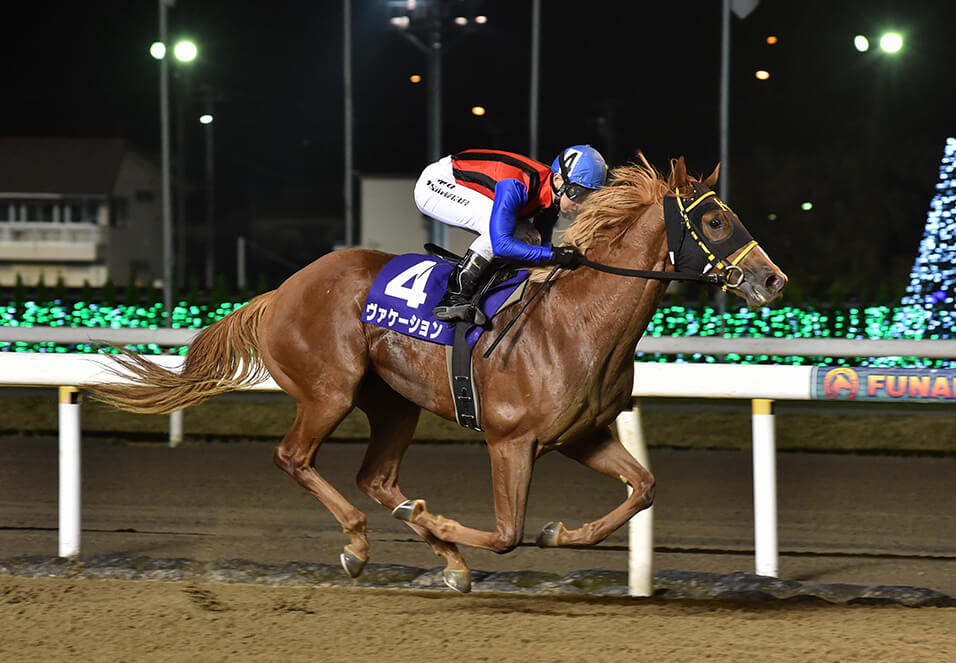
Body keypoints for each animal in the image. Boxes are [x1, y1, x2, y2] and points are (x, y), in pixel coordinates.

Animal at [87, 154, 787, 593]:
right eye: (716, 220)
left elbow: (642, 488)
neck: (576, 322)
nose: (773, 279)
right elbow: (505, 534)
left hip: (395, 403)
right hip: (329, 390)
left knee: (376, 477)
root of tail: (281, 290)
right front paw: (443, 523)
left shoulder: (583, 435)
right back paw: (363, 543)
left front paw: (561, 532)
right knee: (295, 457)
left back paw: (435, 552)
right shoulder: (511, 441)